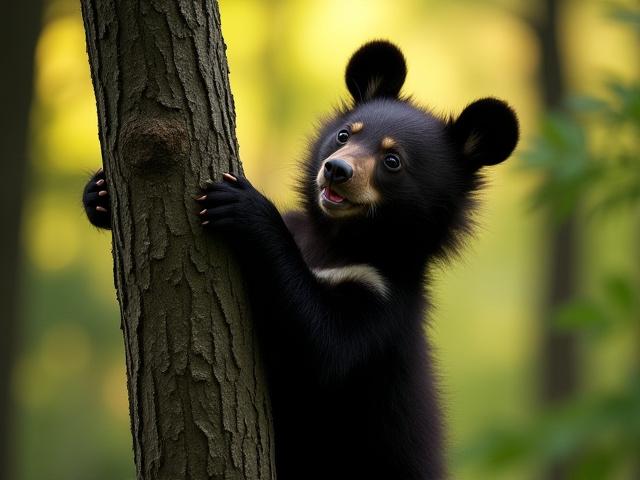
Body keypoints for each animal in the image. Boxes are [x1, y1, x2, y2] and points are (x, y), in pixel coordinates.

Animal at [83, 40, 519, 480]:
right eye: (344, 135)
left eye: (392, 161)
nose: (336, 170)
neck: (336, 240)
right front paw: (98, 194)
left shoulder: (381, 300)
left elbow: (322, 345)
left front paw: (243, 206)